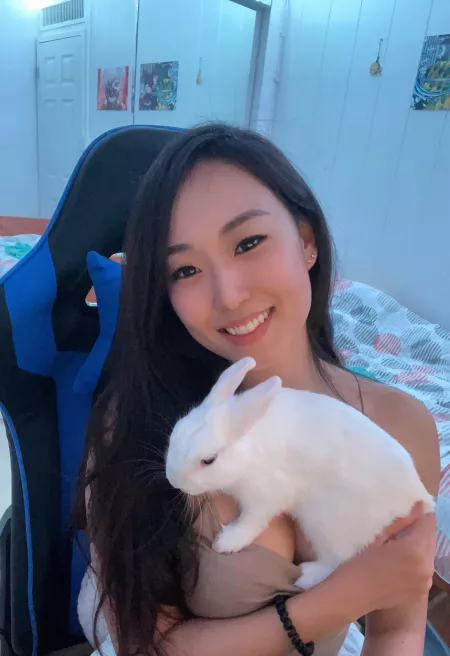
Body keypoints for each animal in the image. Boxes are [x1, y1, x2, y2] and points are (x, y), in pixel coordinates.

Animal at [165, 357, 435, 590]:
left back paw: (306, 576)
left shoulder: (266, 494)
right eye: (175, 432)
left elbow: (253, 520)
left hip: (327, 524)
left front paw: (227, 542)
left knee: (337, 561)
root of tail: (418, 498)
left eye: (208, 460)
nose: (174, 481)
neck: (249, 448)